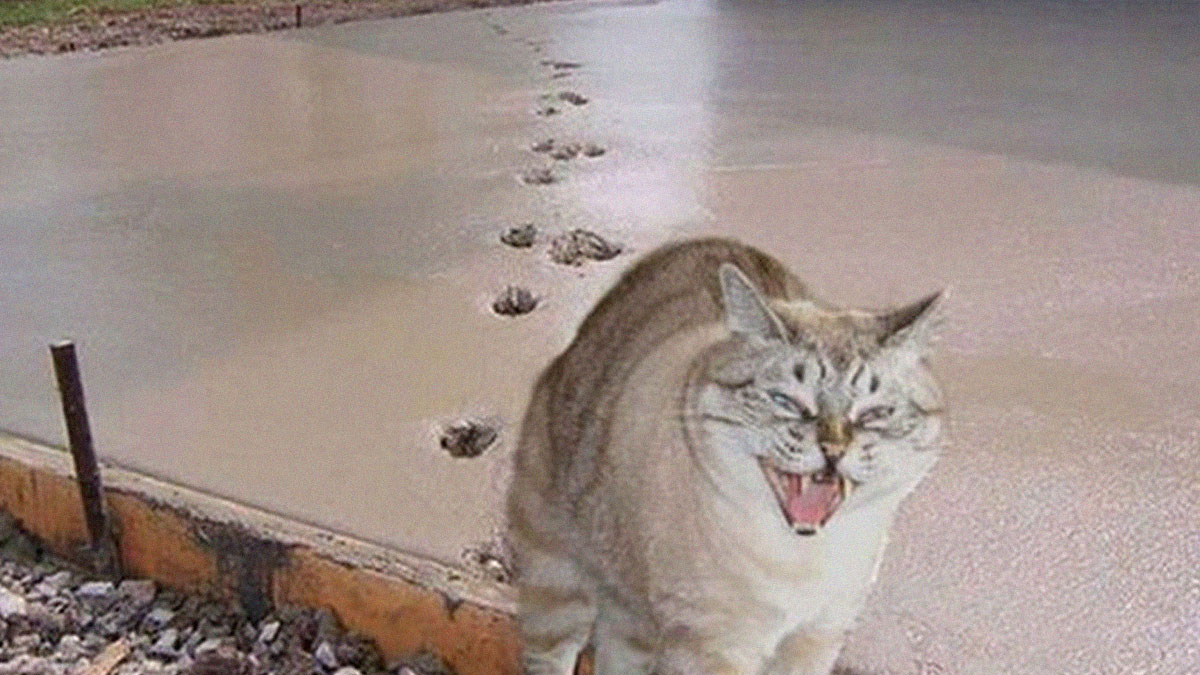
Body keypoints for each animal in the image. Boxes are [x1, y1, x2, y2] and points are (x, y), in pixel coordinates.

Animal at [506, 238, 944, 675]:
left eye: (873, 414)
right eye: (788, 402)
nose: (833, 452)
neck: (802, 559)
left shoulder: (817, 639)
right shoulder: (711, 648)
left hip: (630, 617)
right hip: (559, 580)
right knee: (552, 651)